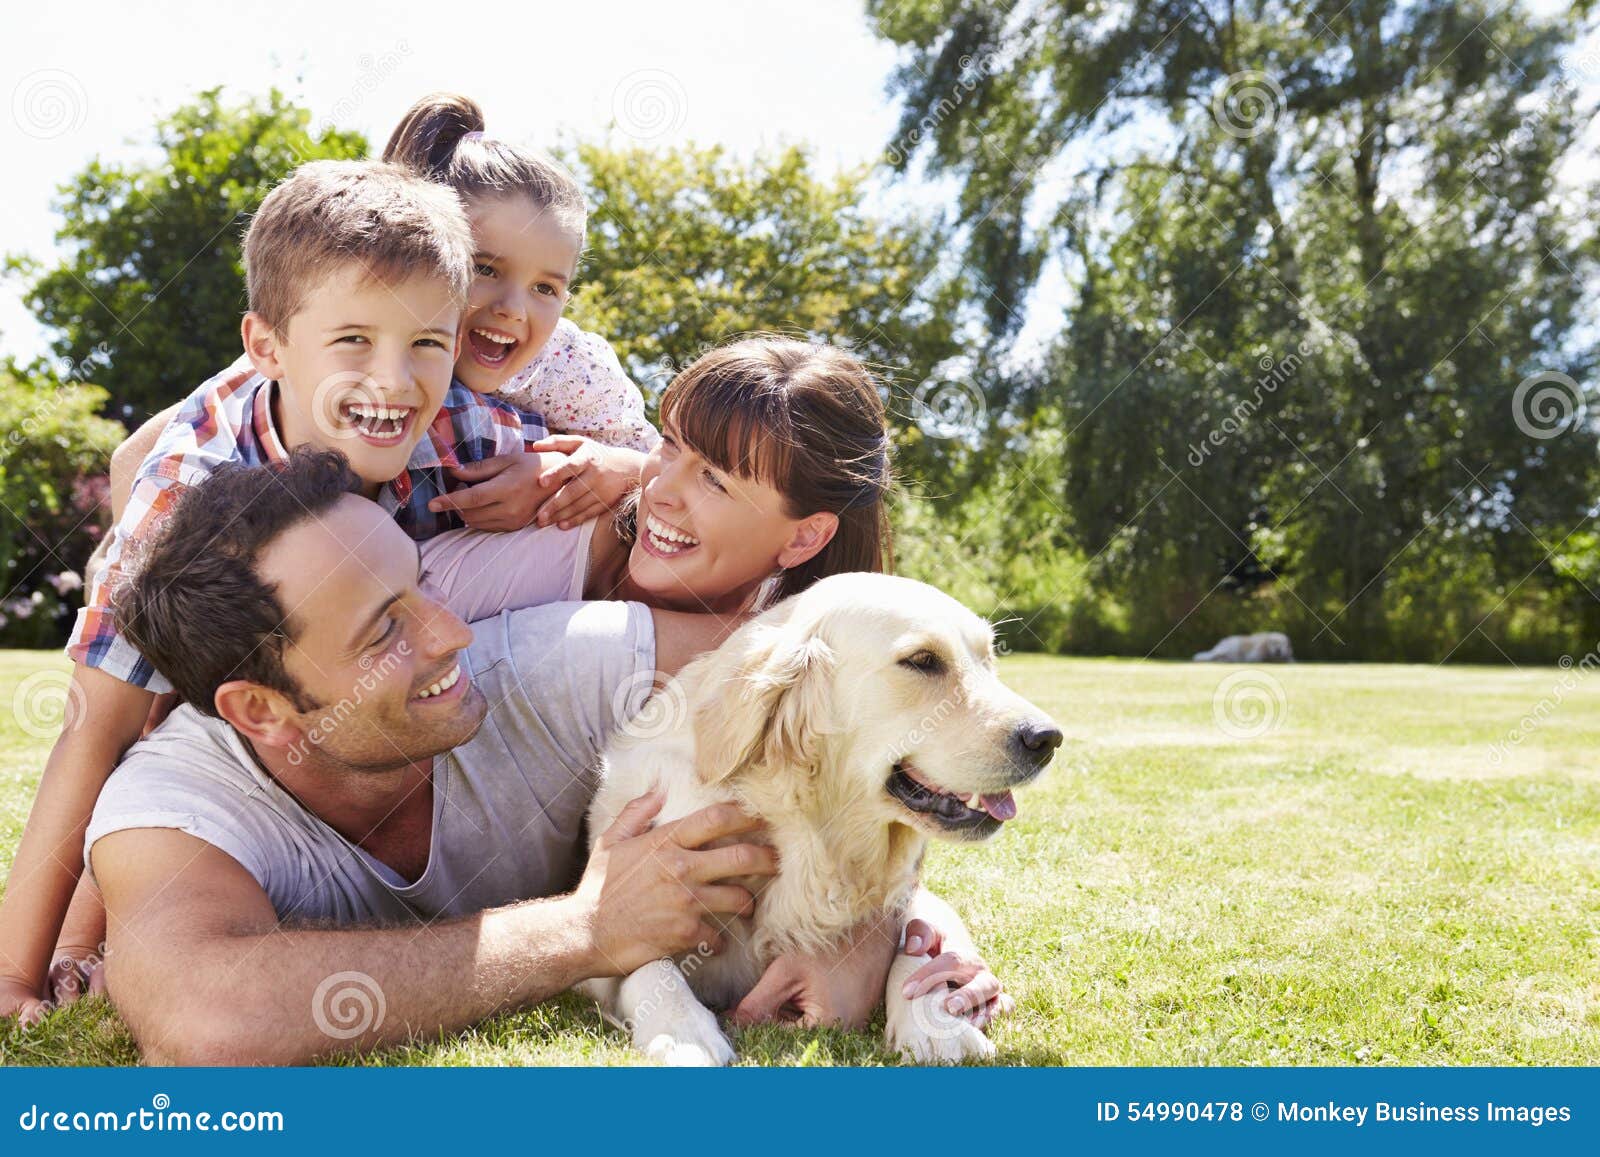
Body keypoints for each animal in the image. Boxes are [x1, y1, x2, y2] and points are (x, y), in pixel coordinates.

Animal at [579, 569, 1062, 1068]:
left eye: (988, 659)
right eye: (923, 661)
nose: (1047, 738)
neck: (806, 831)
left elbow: (916, 943)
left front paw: (935, 1025)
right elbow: (645, 959)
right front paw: (682, 1032)